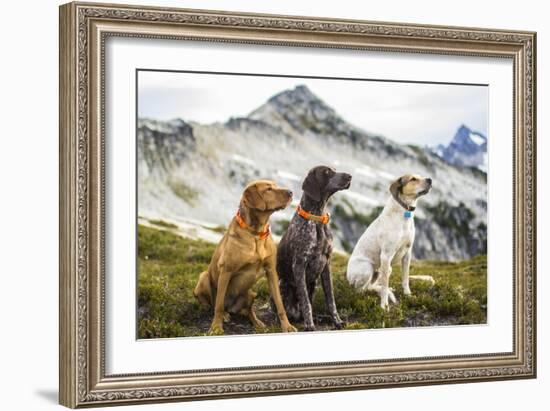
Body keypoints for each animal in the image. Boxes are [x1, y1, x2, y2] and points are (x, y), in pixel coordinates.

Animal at [193, 180, 298, 334]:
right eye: (269, 189)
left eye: (275, 186)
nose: (291, 192)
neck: (256, 233)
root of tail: (232, 307)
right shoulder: (226, 270)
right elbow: (218, 305)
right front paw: (216, 327)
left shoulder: (271, 271)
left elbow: (280, 304)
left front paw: (287, 326)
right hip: (204, 277)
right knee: (213, 304)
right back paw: (221, 313)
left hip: (251, 293)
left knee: (249, 310)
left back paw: (257, 322)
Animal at [278, 166, 352, 330]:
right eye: (327, 172)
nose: (350, 176)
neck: (317, 217)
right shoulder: (299, 265)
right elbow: (305, 302)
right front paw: (310, 325)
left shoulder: (326, 264)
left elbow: (330, 299)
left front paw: (337, 321)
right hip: (282, 284)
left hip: (314, 283)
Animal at [350, 174, 436, 308]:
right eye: (413, 179)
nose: (430, 180)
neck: (404, 213)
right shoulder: (386, 256)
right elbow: (385, 286)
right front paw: (384, 305)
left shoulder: (407, 253)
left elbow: (405, 278)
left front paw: (408, 295)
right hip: (367, 268)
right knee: (362, 289)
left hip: (385, 269)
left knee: (373, 285)